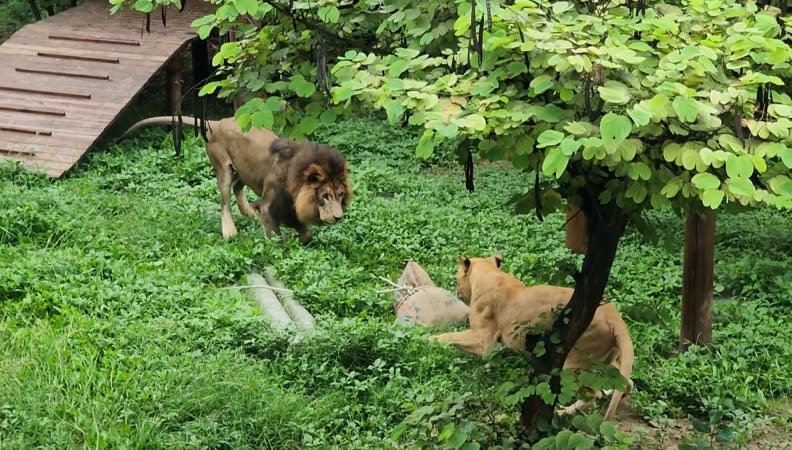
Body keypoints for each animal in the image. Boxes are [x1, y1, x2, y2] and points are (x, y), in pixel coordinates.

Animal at [120, 116, 350, 243]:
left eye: (340, 195)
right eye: (325, 196)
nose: (338, 217)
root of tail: (217, 123)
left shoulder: (289, 209)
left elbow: (304, 232)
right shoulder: (269, 205)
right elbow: (275, 235)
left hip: (243, 169)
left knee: (238, 187)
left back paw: (248, 212)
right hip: (223, 168)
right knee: (224, 202)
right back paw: (230, 231)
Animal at [430, 255, 636, 420]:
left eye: (457, 278)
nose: (456, 291)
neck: (488, 273)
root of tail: (615, 317)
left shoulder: (483, 340)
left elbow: (447, 336)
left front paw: (428, 340)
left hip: (573, 365)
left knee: (594, 394)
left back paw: (563, 412)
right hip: (605, 362)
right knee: (627, 383)